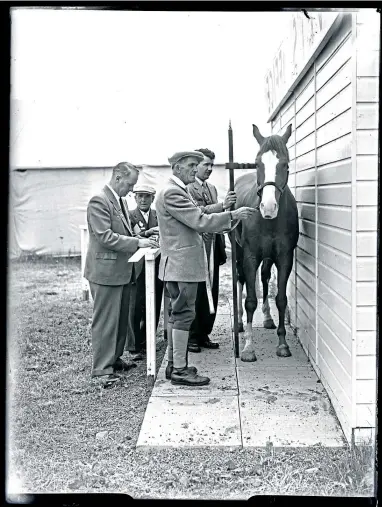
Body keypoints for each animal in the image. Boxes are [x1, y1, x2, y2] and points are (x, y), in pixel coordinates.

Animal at [231, 122, 300, 362]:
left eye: (285, 164)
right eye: (258, 162)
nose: (268, 207)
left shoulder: (285, 257)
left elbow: (281, 298)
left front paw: (283, 344)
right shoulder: (250, 256)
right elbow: (250, 300)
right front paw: (248, 347)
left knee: (264, 276)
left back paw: (268, 318)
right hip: (239, 251)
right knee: (241, 279)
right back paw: (239, 323)